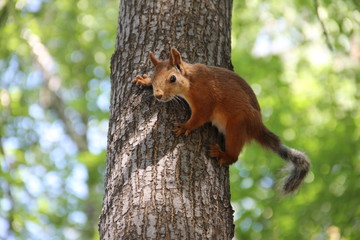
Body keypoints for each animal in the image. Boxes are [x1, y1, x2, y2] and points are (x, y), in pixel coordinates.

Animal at [132, 47, 310, 194]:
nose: (158, 95)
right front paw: (144, 80)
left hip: (236, 126)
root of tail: (257, 127)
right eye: (154, 77)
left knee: (234, 156)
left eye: (173, 78)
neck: (192, 81)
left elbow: (200, 117)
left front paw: (185, 126)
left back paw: (223, 154)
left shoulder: (206, 99)